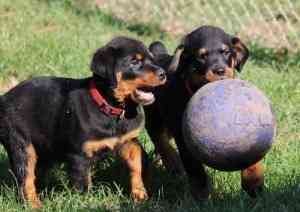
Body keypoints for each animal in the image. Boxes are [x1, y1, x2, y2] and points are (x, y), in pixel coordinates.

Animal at [0, 36, 166, 209]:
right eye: (134, 61)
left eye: (152, 59)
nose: (163, 73)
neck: (112, 109)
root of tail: (4, 98)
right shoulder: (78, 155)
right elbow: (84, 185)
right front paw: (84, 202)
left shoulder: (129, 140)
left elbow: (136, 164)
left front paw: (140, 195)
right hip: (21, 143)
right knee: (25, 177)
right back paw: (34, 204)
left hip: (45, 147)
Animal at [145, 25, 264, 200]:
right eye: (201, 56)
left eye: (226, 52)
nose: (220, 71)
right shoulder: (183, 137)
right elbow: (195, 170)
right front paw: (201, 197)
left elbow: (252, 153)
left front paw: (253, 183)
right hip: (155, 117)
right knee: (160, 140)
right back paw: (173, 163)